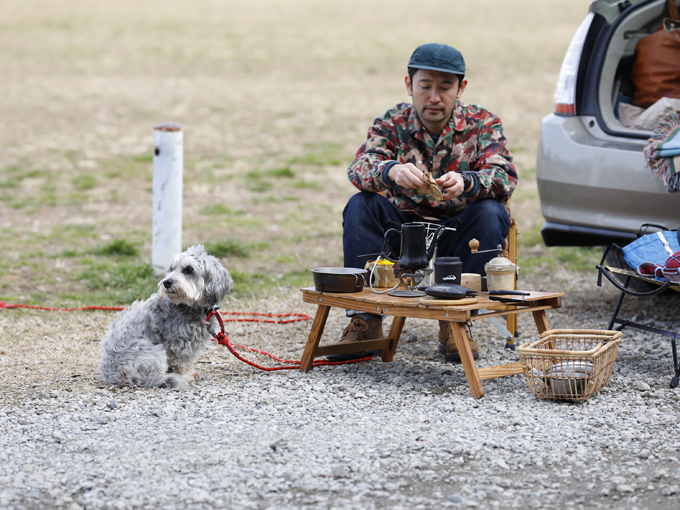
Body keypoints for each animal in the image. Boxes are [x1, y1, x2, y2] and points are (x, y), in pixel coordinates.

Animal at [99, 245, 234, 388]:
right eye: (171, 269)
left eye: (189, 269)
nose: (166, 282)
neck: (190, 305)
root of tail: (113, 375)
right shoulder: (180, 345)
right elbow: (183, 363)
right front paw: (187, 375)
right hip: (153, 351)